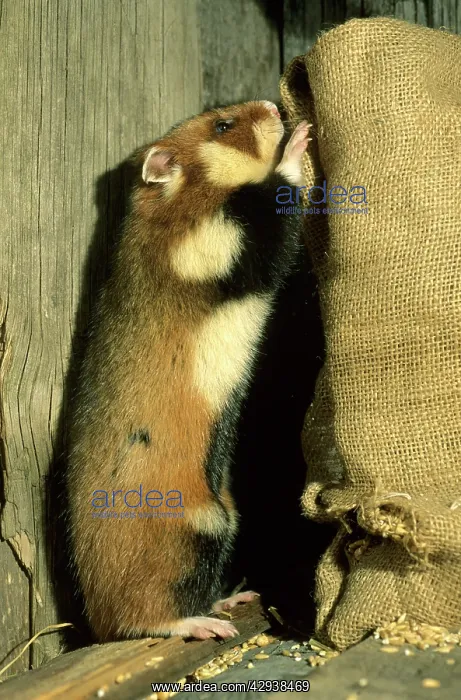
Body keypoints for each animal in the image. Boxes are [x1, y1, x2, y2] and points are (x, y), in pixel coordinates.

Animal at [67, 101, 310, 642]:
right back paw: (206, 626)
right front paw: (299, 139)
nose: (271, 105)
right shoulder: (229, 240)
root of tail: (94, 621)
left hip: (226, 518)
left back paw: (235, 599)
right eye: (222, 125)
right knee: (147, 616)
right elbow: (281, 195)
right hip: (195, 530)